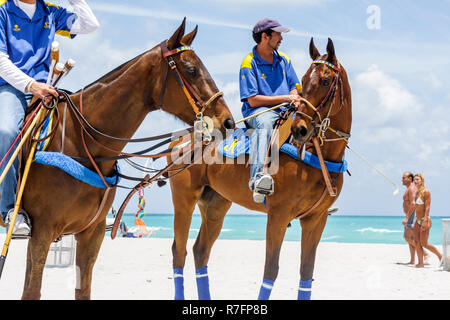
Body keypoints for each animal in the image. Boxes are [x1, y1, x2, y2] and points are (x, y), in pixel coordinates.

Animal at [13, 18, 236, 300]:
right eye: (191, 69)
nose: (228, 122)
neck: (78, 141)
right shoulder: (42, 231)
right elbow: (31, 291)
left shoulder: (92, 233)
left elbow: (83, 290)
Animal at [167, 38, 350, 300]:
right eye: (305, 80)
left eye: (325, 81)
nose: (300, 130)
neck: (318, 154)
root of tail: (178, 140)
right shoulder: (278, 215)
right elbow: (270, 270)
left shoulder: (316, 218)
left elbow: (307, 273)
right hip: (184, 200)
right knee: (178, 251)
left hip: (215, 205)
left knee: (200, 251)